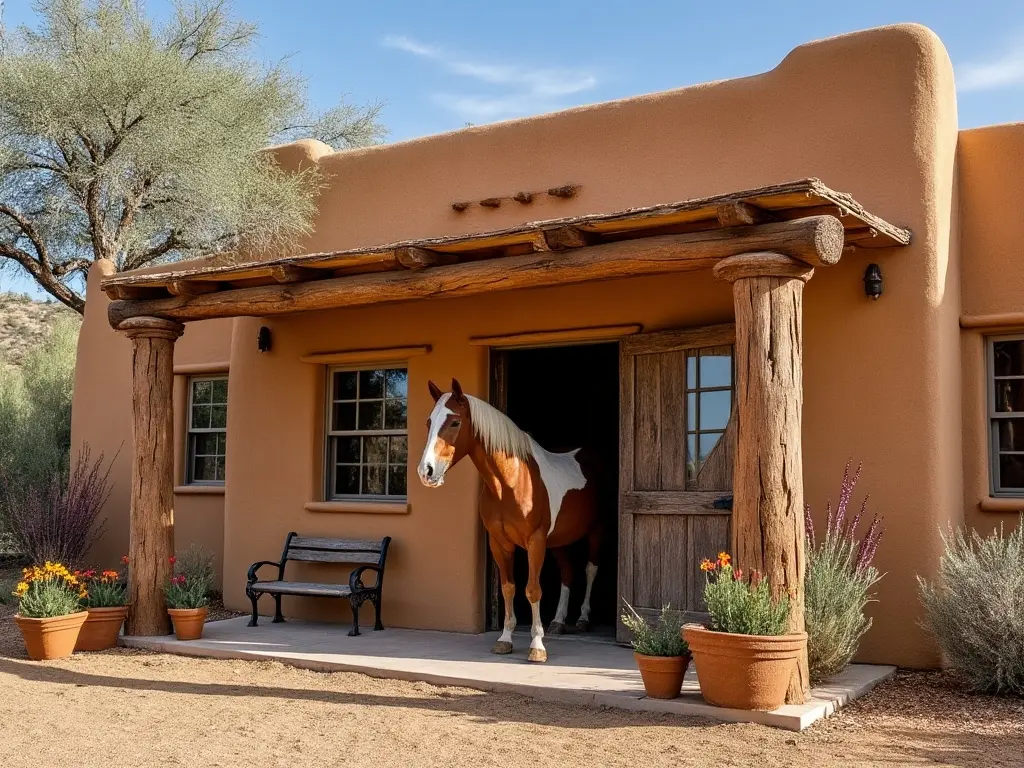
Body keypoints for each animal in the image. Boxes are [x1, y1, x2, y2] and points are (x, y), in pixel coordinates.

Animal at [415, 378, 598, 663]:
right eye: (428, 422)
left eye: (455, 422)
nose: (427, 472)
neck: (510, 480)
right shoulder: (499, 543)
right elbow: (508, 588)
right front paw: (505, 639)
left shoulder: (535, 542)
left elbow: (532, 589)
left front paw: (537, 646)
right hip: (558, 541)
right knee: (567, 573)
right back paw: (558, 622)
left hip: (595, 532)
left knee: (590, 569)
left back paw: (582, 619)